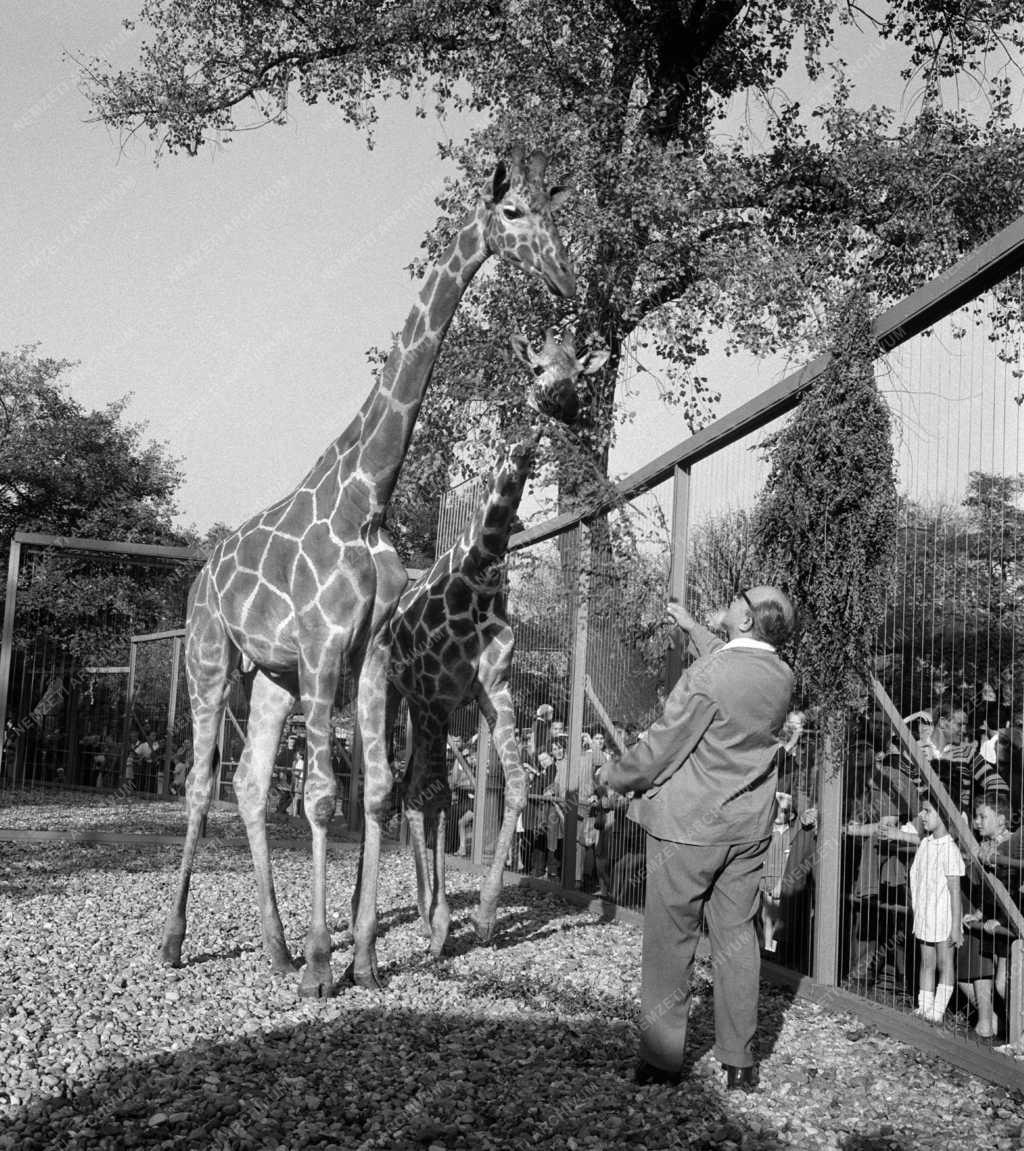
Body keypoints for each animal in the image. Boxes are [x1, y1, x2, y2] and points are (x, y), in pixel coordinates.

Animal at [159, 146, 575, 999]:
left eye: (560, 216)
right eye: (512, 213)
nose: (563, 280)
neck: (366, 498)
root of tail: (202, 571)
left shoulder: (371, 656)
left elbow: (378, 792)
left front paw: (365, 957)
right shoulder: (326, 647)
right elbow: (324, 797)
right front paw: (328, 964)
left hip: (275, 677)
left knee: (250, 783)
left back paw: (276, 946)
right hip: (213, 659)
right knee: (199, 783)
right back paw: (178, 940)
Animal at [375, 324, 607, 953]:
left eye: (579, 372)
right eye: (537, 367)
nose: (562, 401)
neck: (477, 570)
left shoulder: (491, 689)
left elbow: (521, 787)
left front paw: (480, 918)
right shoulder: (435, 693)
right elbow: (432, 793)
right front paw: (439, 926)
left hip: (425, 710)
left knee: (415, 786)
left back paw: (430, 910)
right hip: (397, 698)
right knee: (407, 786)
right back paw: (423, 918)